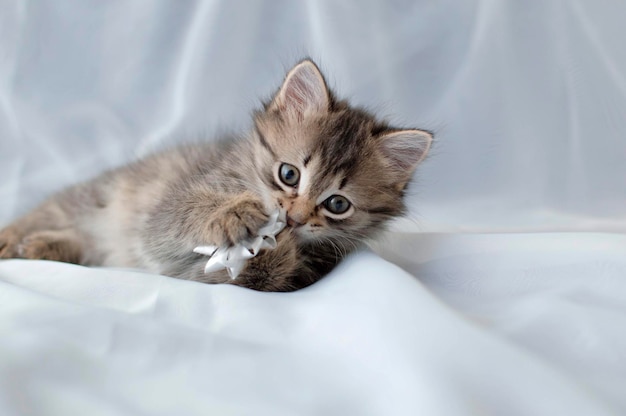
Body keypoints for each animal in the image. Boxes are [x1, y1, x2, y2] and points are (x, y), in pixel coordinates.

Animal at [0, 59, 428, 292]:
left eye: (337, 204)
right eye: (288, 174)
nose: (294, 219)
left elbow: (256, 275)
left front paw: (274, 248)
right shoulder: (164, 214)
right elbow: (184, 216)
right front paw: (233, 214)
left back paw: (41, 247)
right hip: (94, 196)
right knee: (47, 214)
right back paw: (13, 242)